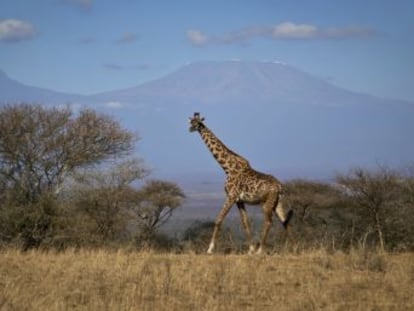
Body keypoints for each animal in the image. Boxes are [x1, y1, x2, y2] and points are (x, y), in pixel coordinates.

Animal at [188, 113, 292, 255]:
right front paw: (250, 249)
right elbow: (245, 223)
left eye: (197, 123)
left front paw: (210, 249)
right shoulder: (239, 200)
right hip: (277, 202)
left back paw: (261, 250)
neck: (227, 167)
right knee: (285, 221)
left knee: (269, 222)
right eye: (190, 121)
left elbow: (218, 219)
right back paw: (290, 248)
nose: (190, 129)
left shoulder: (231, 196)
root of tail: (279, 187)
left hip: (267, 202)